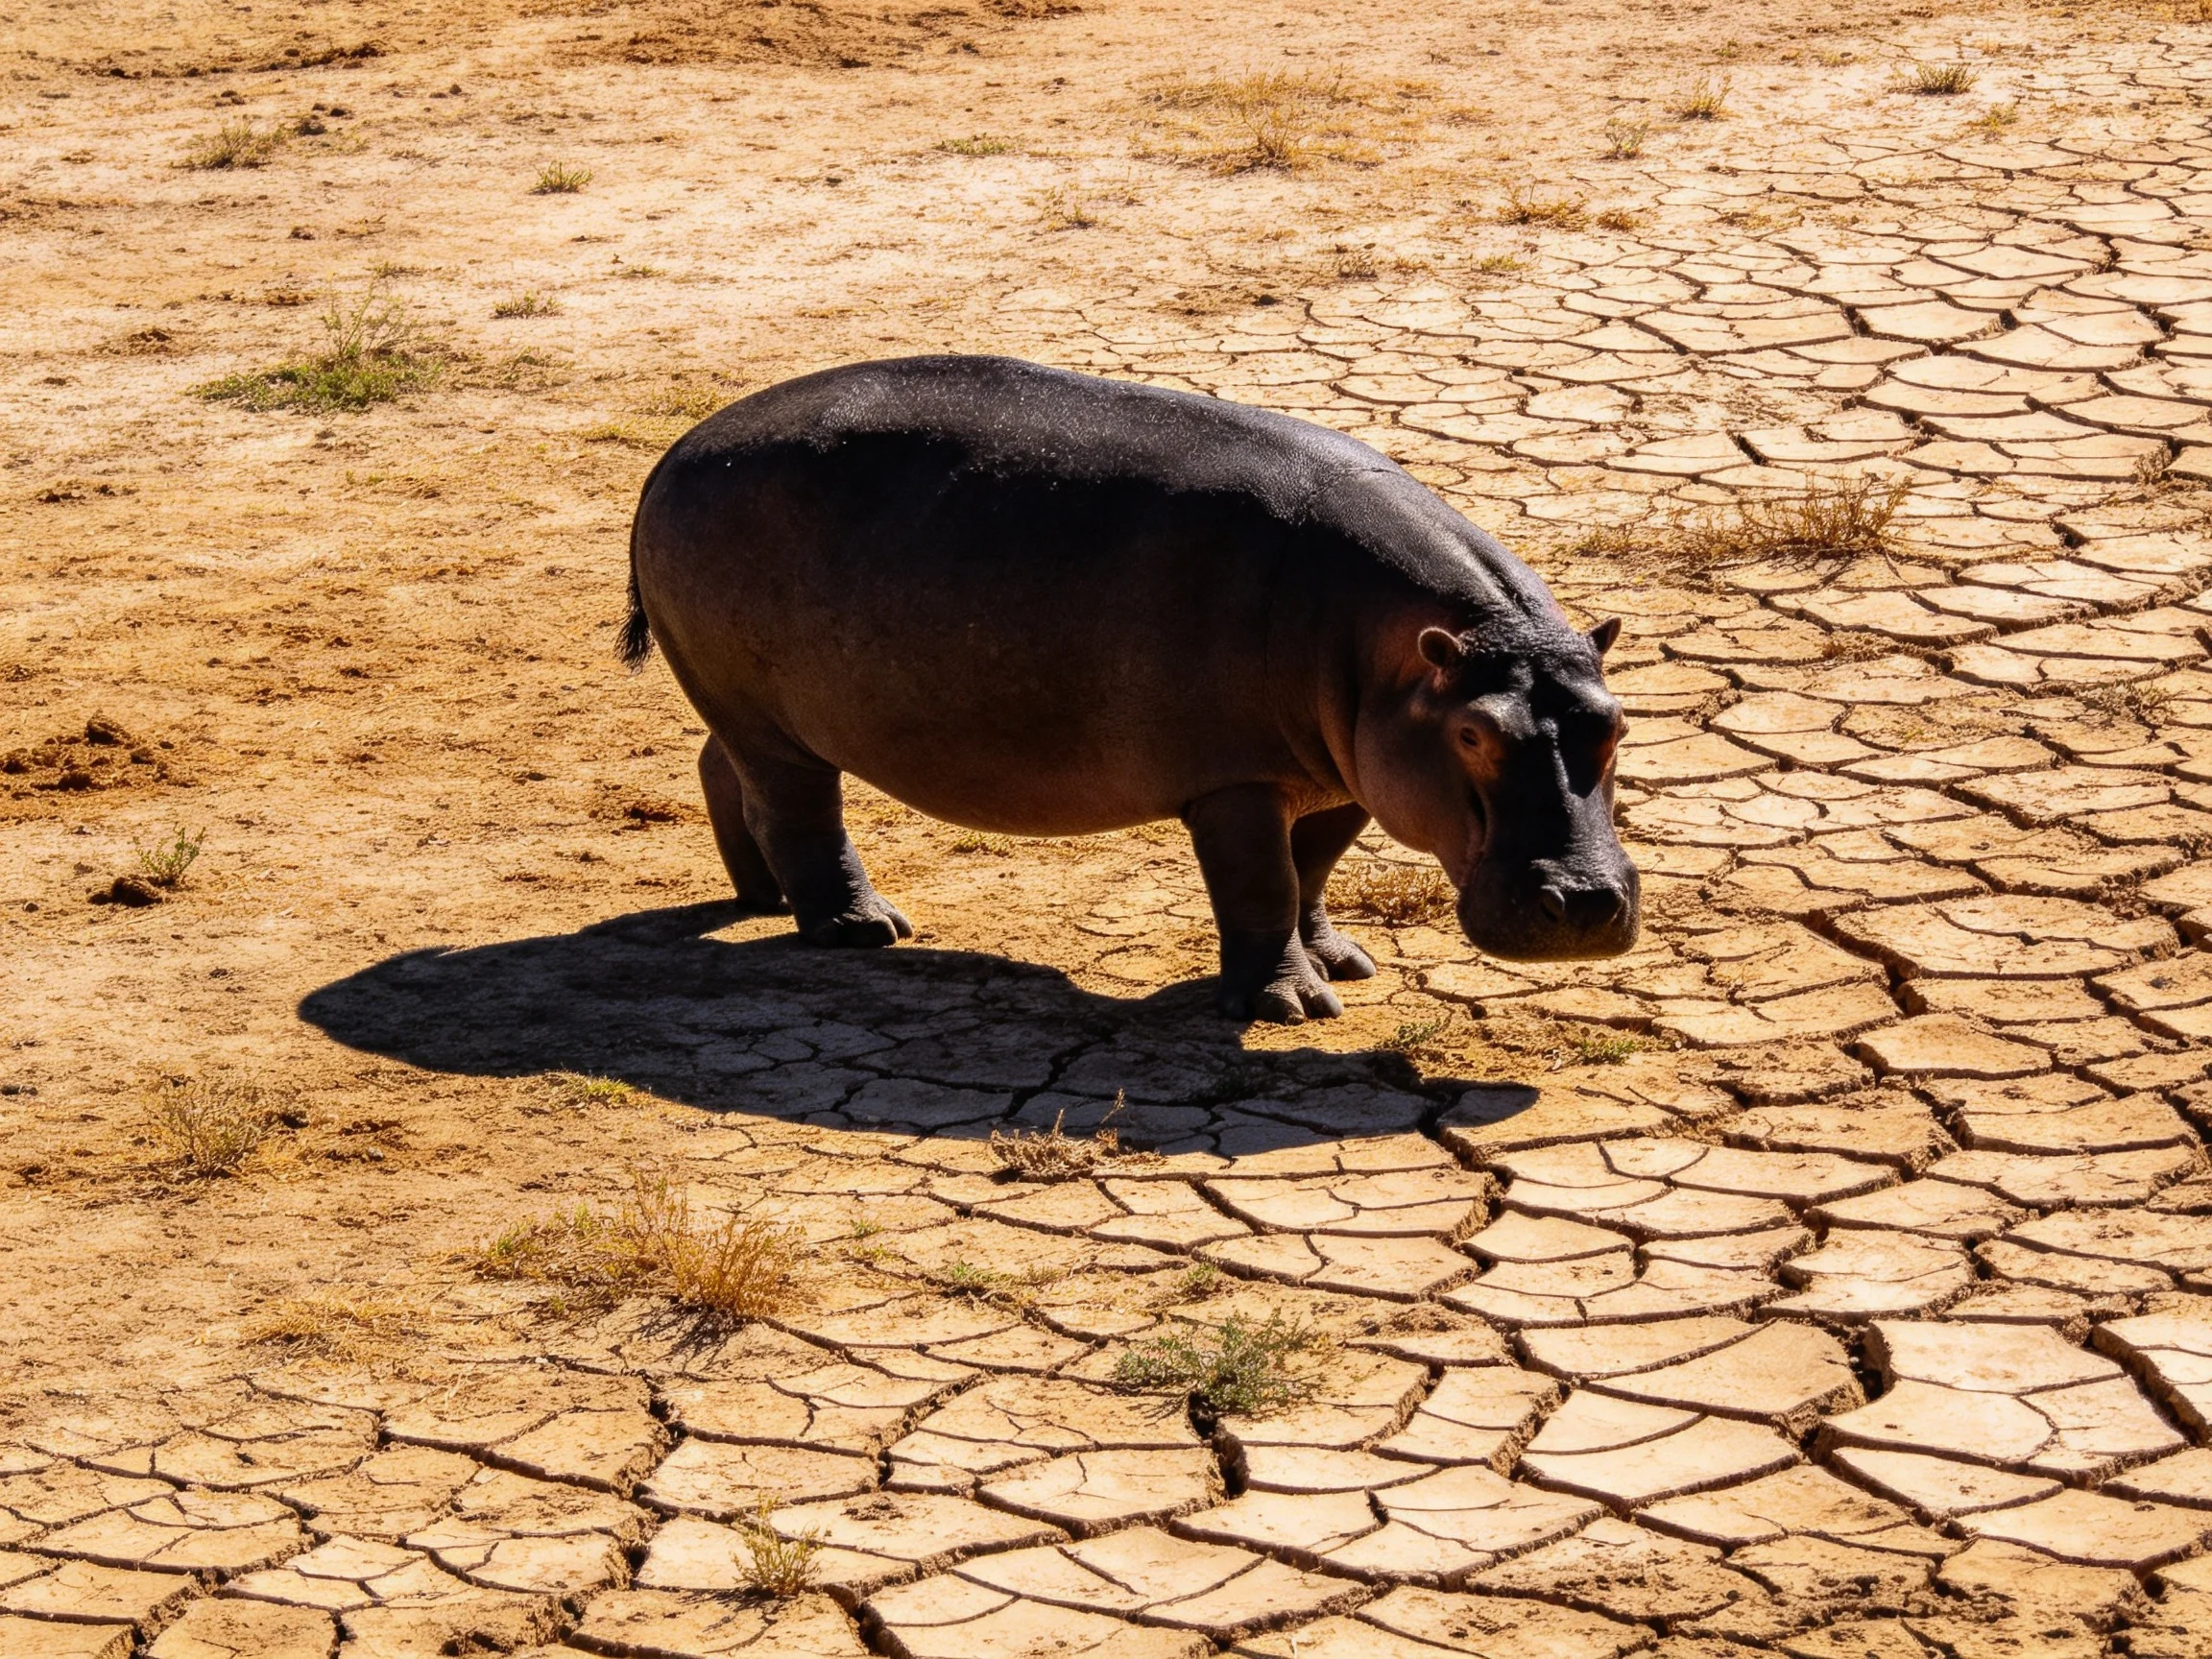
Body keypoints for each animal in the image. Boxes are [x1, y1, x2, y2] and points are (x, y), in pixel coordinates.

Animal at [621, 355, 1636, 1023]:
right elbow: (1263, 883)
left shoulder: (1349, 771)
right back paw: (860, 929)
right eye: (1475, 736)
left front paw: (1343, 963)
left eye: (1617, 723)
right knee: (799, 811)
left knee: (724, 770)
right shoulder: (1237, 780)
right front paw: (1287, 1006)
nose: (1587, 905)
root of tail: (674, 449)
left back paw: (762, 901)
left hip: (750, 707)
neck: (1408, 654)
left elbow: (1313, 871)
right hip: (768, 718)